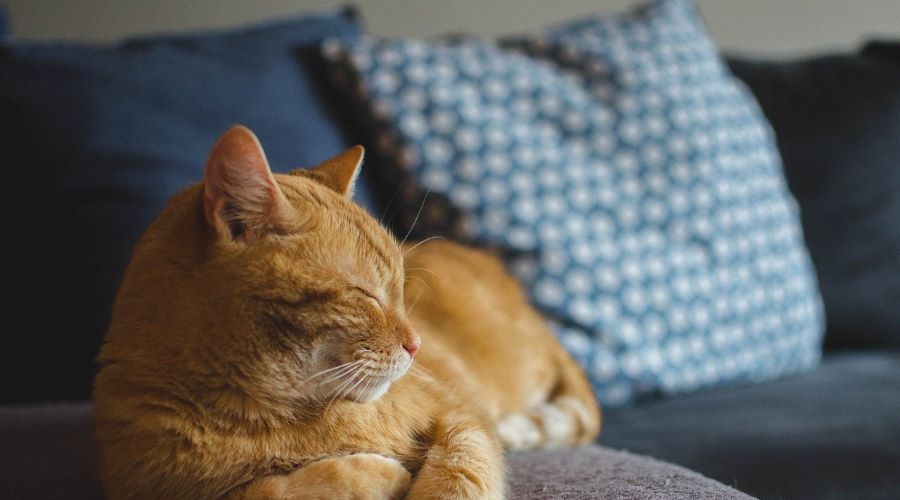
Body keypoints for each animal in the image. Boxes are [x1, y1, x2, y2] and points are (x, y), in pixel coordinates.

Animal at [93, 126, 596, 500]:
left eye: (401, 289)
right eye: (366, 295)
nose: (417, 345)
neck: (266, 416)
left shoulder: (461, 416)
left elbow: (460, 470)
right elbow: (263, 491)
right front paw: (374, 475)